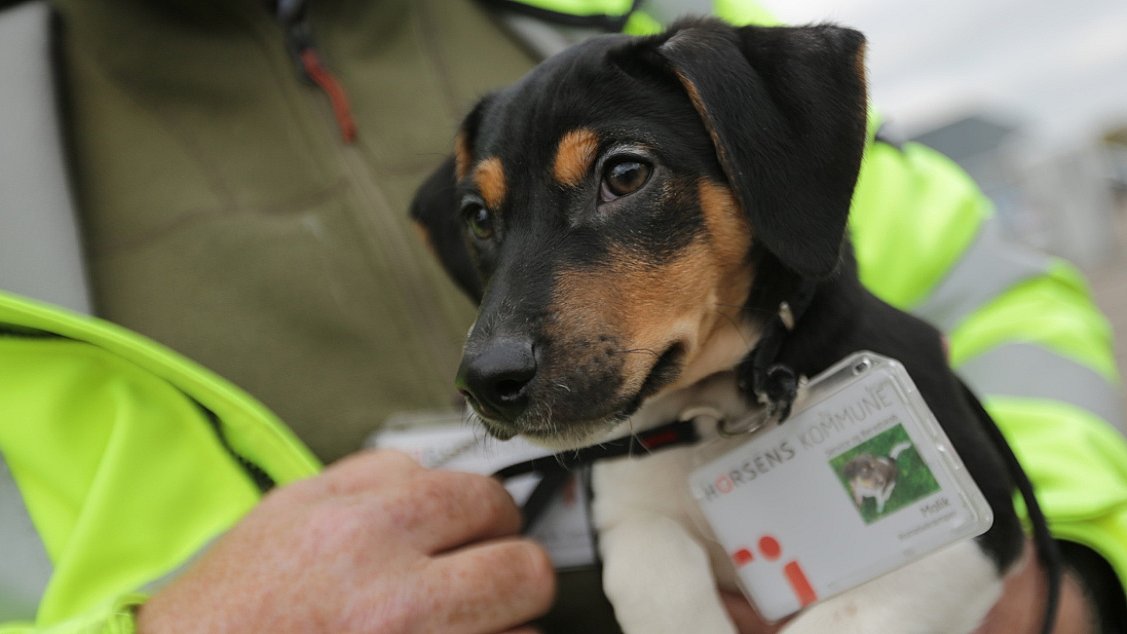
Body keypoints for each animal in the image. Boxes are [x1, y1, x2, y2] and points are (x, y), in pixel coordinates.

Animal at [412, 18, 1036, 634]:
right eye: (477, 218)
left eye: (626, 173)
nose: (485, 381)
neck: (710, 410)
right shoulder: (630, 513)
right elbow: (660, 587)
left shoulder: (975, 526)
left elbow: (835, 618)